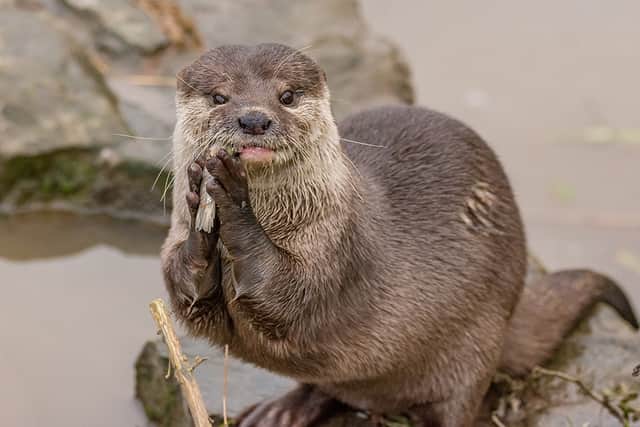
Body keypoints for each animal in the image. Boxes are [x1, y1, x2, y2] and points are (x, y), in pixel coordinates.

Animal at [160, 43, 638, 427]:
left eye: (287, 96)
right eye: (219, 96)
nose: (254, 119)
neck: (294, 216)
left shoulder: (338, 251)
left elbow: (288, 294)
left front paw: (233, 198)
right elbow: (187, 295)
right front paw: (199, 226)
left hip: (474, 349)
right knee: (328, 384)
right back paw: (281, 411)